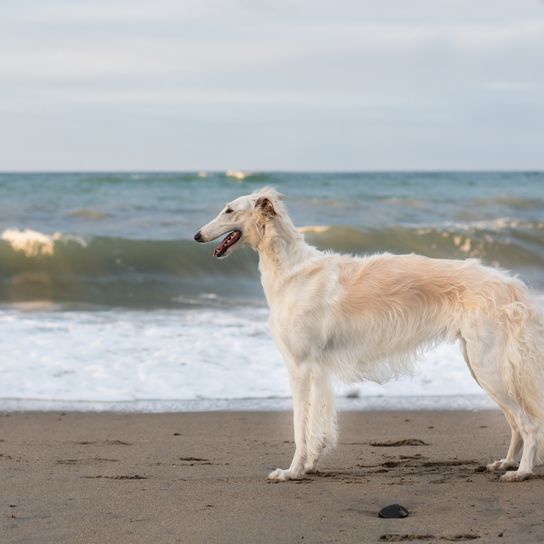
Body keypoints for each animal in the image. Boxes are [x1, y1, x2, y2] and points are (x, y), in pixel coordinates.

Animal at [196, 186, 544, 480]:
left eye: (229, 209)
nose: (197, 235)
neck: (293, 272)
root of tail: (508, 284)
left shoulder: (300, 367)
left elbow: (299, 427)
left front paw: (291, 472)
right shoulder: (317, 371)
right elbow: (316, 426)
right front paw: (308, 466)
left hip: (488, 367)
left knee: (527, 423)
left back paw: (522, 471)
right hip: (481, 365)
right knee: (516, 422)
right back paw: (507, 462)